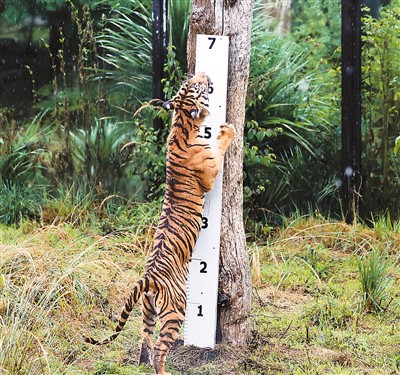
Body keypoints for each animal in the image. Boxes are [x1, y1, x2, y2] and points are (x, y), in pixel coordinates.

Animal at [84, 71, 234, 375]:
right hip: (176, 310)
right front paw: (227, 131)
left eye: (190, 83)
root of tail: (148, 277)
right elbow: (220, 147)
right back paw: (162, 370)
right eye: (198, 87)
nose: (203, 74)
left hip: (147, 310)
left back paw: (141, 365)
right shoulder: (210, 173)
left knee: (145, 339)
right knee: (160, 350)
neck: (181, 123)